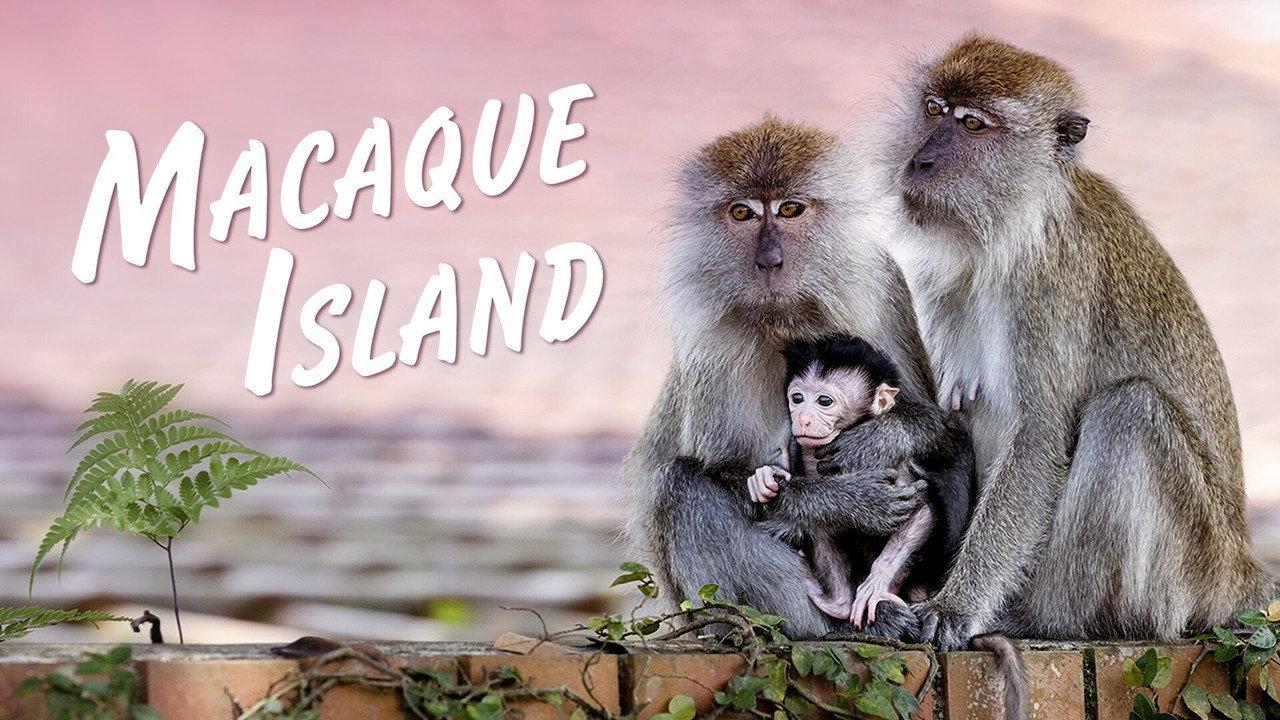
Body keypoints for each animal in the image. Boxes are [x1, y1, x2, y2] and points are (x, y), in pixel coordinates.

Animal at [620, 116, 939, 641]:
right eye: (743, 214)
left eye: (790, 209)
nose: (769, 261)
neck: (784, 321)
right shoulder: (710, 344)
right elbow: (728, 470)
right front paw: (845, 501)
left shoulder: (881, 290)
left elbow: (936, 427)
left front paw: (878, 439)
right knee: (682, 485)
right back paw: (827, 624)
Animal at [746, 335, 975, 632]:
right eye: (797, 398)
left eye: (824, 401)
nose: (802, 419)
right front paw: (763, 480)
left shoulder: (887, 465)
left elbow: (921, 512)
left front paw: (877, 581)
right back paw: (837, 602)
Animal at [822, 34, 1276, 652]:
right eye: (934, 110)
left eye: (973, 124)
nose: (921, 160)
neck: (1011, 230)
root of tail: (1242, 573)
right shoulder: (943, 277)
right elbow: (948, 419)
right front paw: (884, 439)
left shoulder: (1049, 282)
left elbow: (1037, 438)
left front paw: (955, 607)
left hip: (1194, 572)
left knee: (1129, 411)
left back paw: (1048, 618)